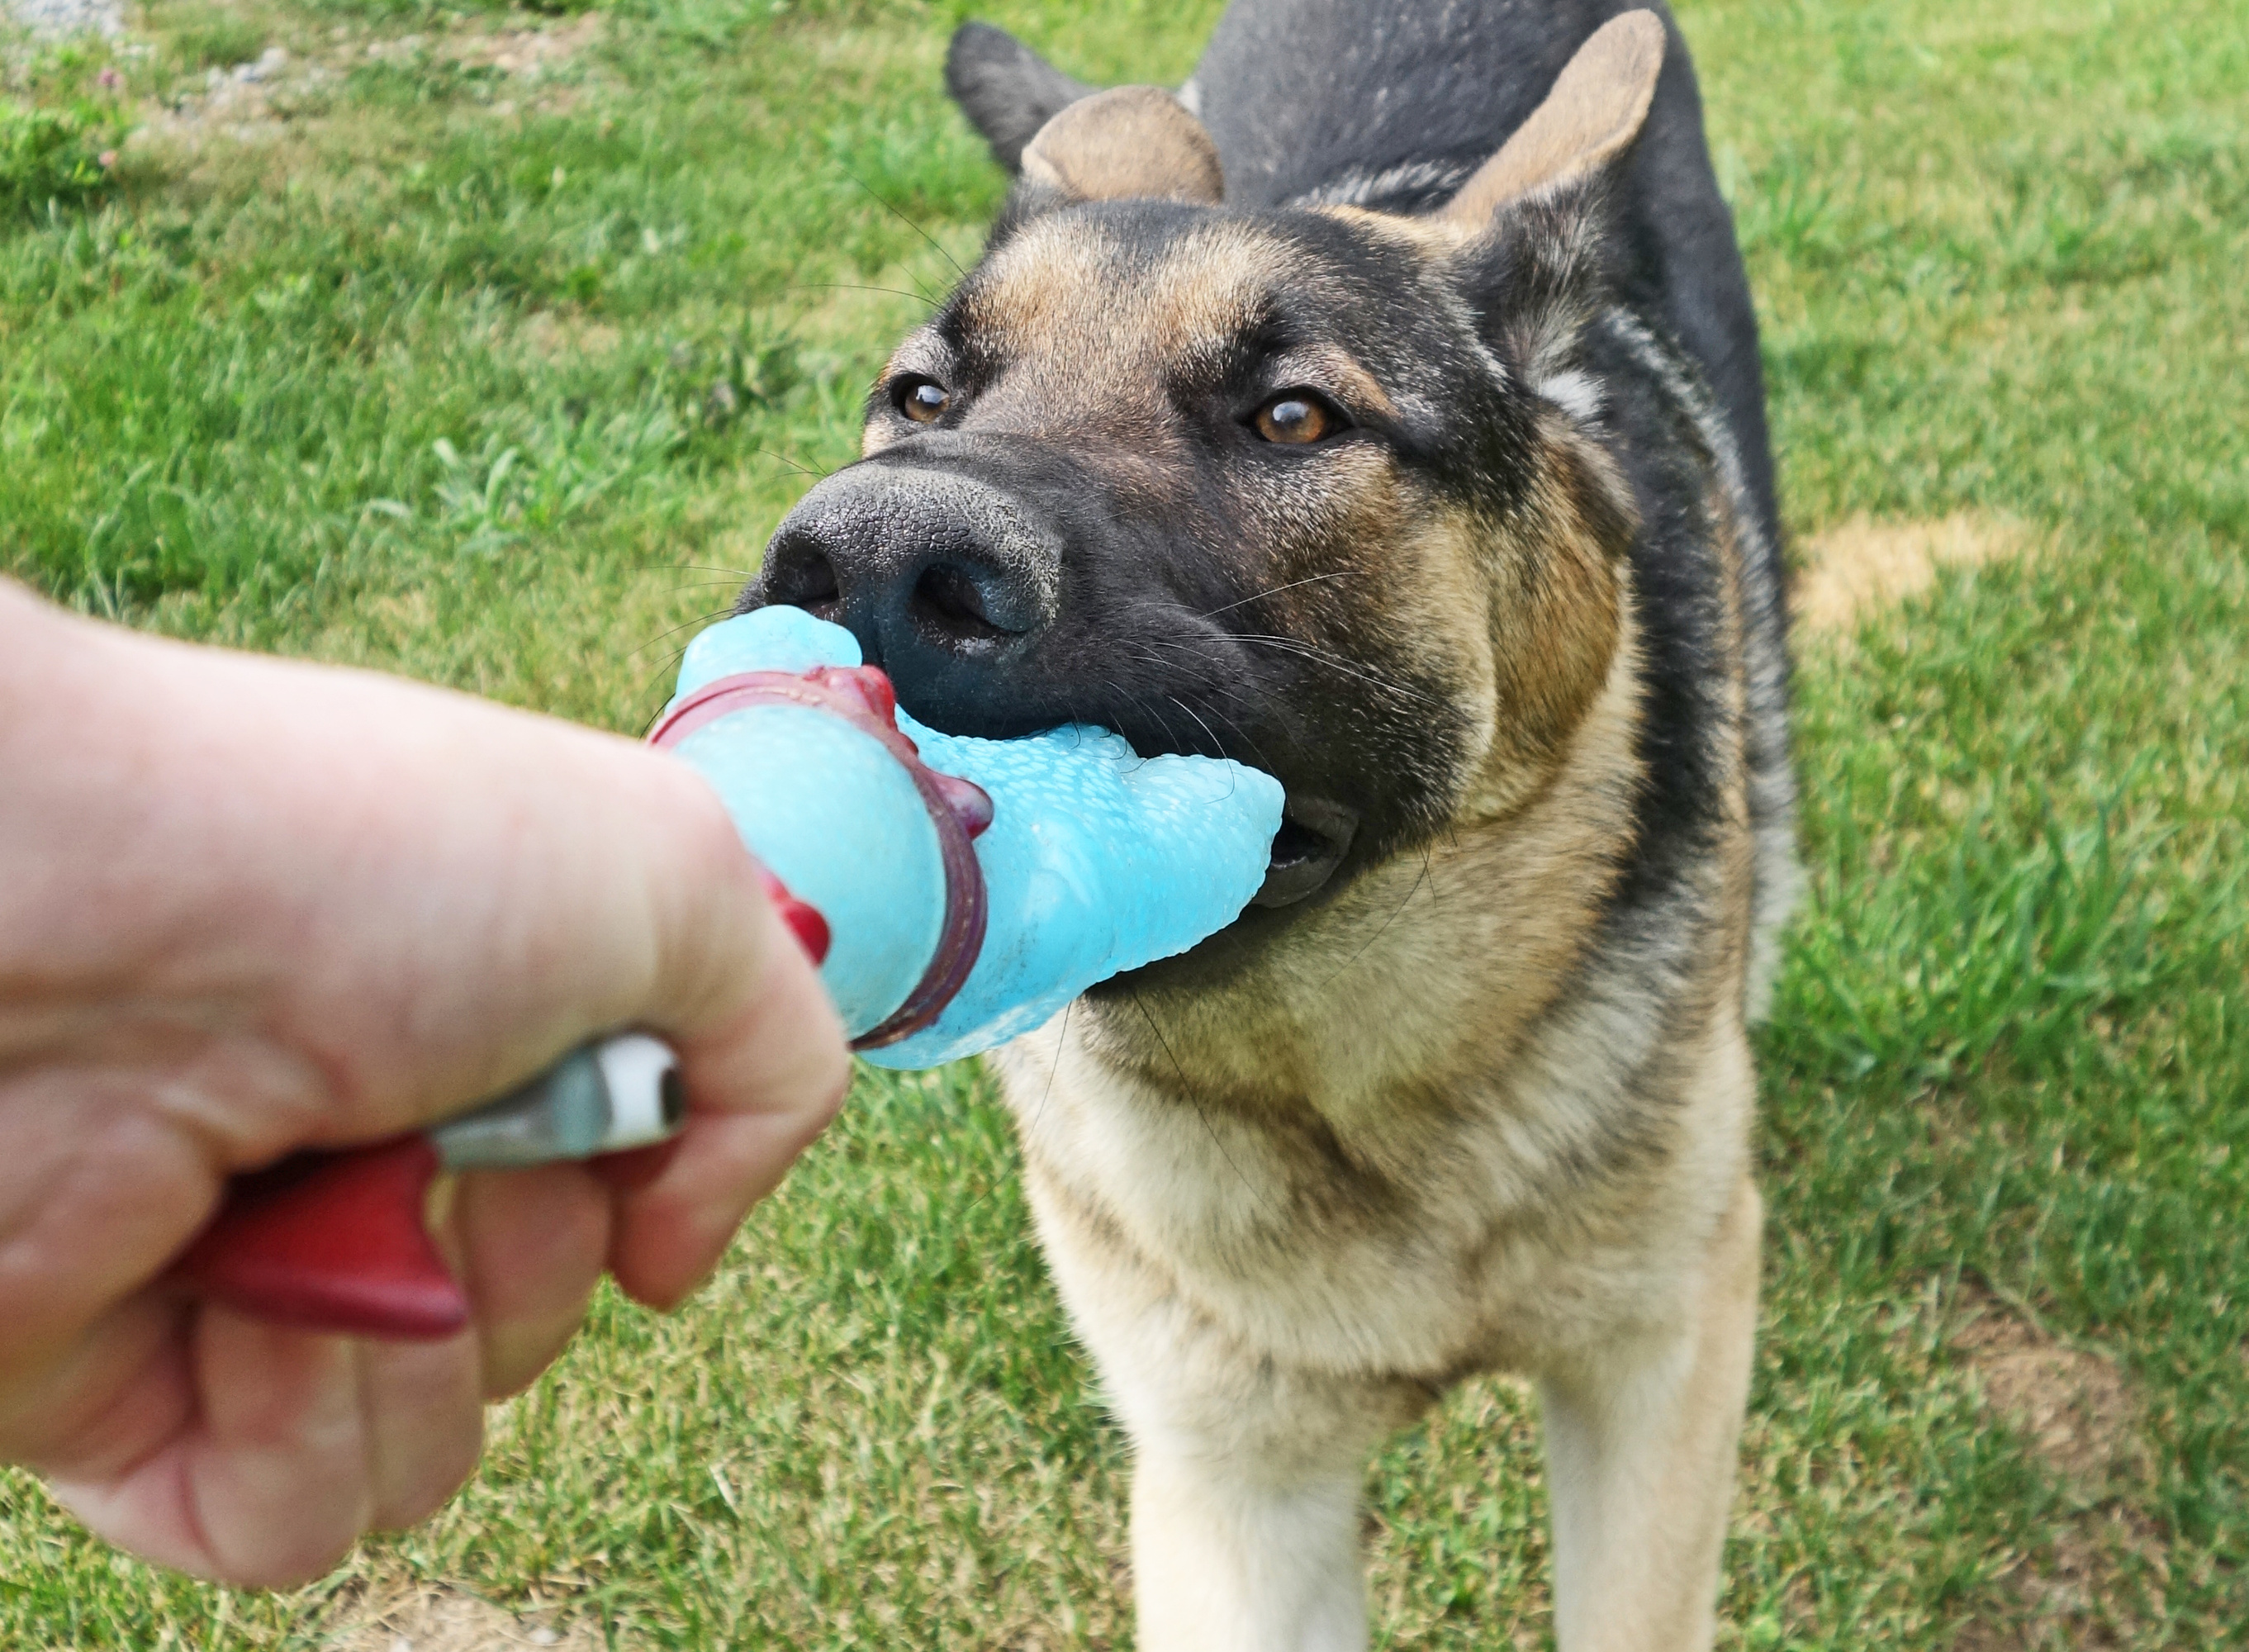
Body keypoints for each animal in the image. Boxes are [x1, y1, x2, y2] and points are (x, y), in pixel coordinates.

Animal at [738, 2, 1790, 1647]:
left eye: (1292, 416)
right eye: (920, 400)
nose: (864, 557)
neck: (1346, 1101)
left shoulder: (1657, 1372)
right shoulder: (1228, 1484)